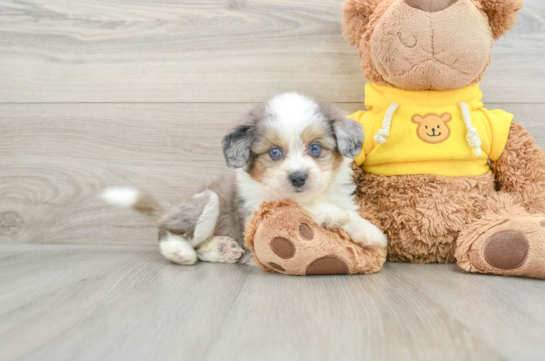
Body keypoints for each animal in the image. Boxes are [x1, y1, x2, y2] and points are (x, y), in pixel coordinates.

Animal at [101, 93, 382, 264]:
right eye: (274, 152)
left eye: (315, 148)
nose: (298, 178)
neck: (315, 194)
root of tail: (171, 209)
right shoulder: (258, 210)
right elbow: (297, 204)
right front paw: (329, 214)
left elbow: (352, 217)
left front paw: (370, 233)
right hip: (206, 201)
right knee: (169, 232)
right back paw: (180, 252)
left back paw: (222, 250)